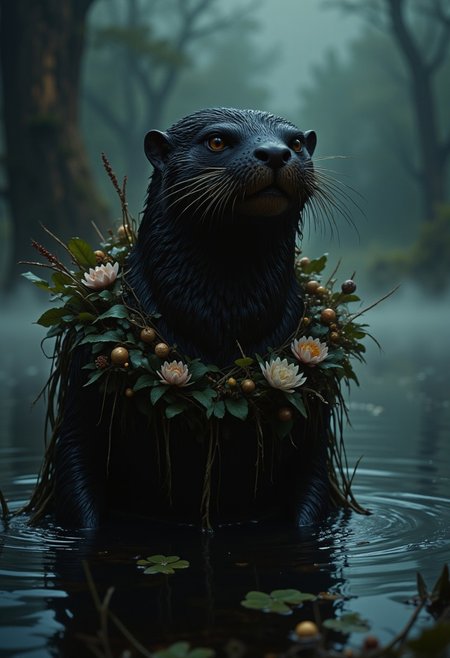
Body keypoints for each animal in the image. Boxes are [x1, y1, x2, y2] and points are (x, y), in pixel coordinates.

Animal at [54, 108, 330, 528]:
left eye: (296, 142)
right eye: (216, 141)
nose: (275, 153)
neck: (221, 323)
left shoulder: (318, 423)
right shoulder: (81, 381)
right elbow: (75, 469)